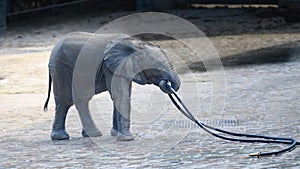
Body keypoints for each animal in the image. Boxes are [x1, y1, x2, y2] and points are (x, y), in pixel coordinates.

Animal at [43, 31, 180, 141]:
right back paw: (63, 137)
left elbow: (123, 95)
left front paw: (115, 134)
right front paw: (127, 139)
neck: (136, 44)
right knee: (65, 100)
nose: (166, 84)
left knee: (81, 99)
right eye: (156, 69)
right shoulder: (110, 66)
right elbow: (120, 95)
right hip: (61, 68)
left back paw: (90, 135)